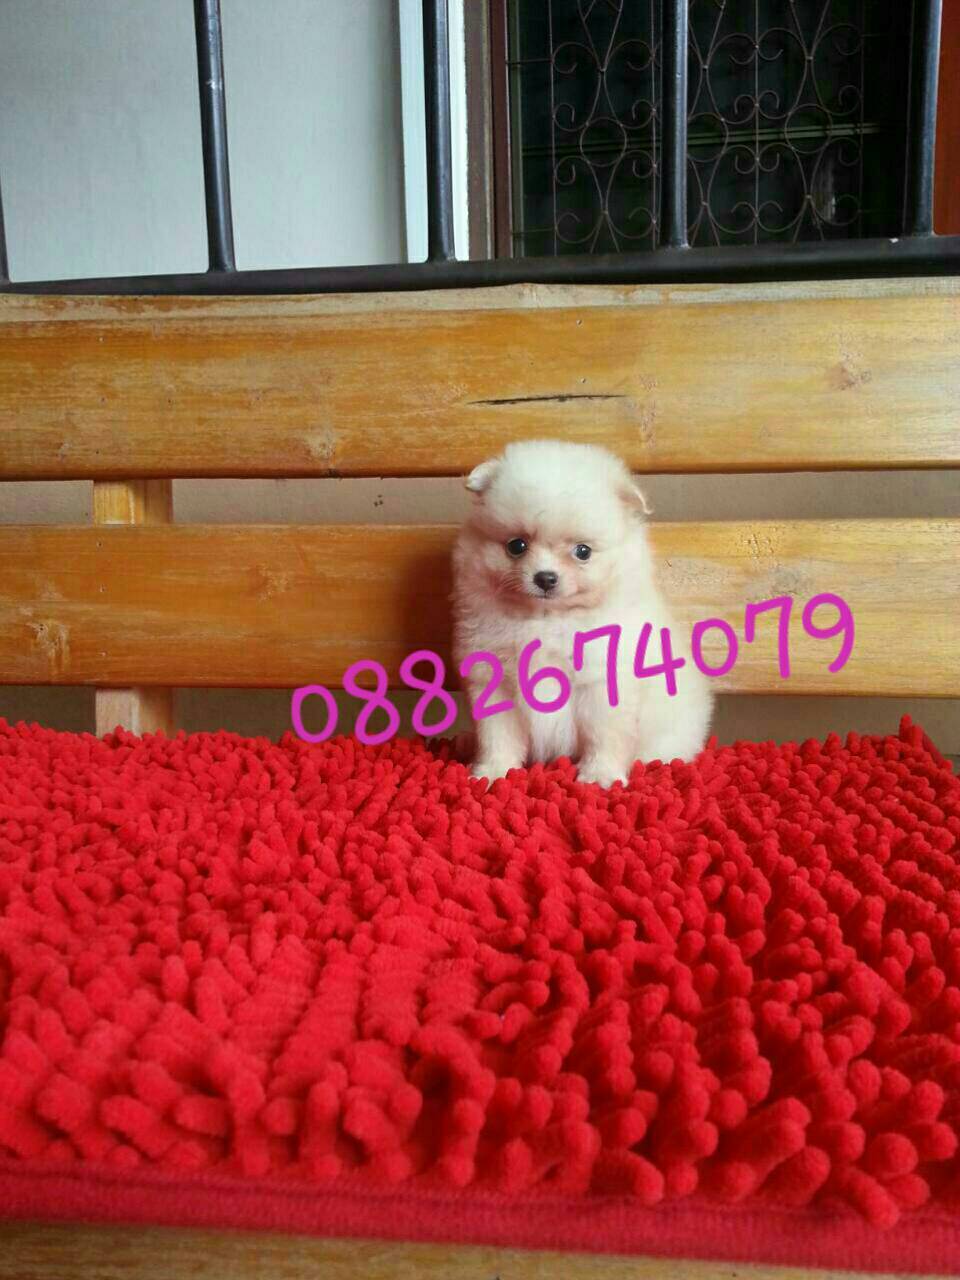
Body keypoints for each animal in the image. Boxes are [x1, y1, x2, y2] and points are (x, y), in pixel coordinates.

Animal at [452, 439, 713, 787]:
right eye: (517, 546)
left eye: (583, 552)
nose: (545, 578)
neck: (547, 620)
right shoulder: (495, 681)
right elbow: (497, 735)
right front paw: (493, 771)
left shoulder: (602, 682)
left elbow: (604, 735)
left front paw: (600, 775)